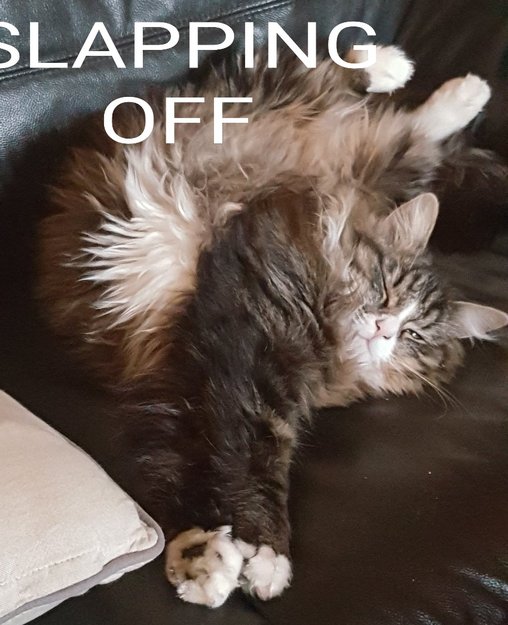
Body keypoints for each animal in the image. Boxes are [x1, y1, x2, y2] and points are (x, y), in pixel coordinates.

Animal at [37, 46, 508, 607]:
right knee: (312, 75)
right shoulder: (244, 357)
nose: (383, 329)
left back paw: (462, 91)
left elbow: (179, 463)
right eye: (384, 290)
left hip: (369, 161)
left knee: (404, 135)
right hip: (248, 106)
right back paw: (403, 68)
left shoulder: (183, 375)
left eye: (415, 336)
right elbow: (251, 459)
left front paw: (201, 556)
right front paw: (264, 552)